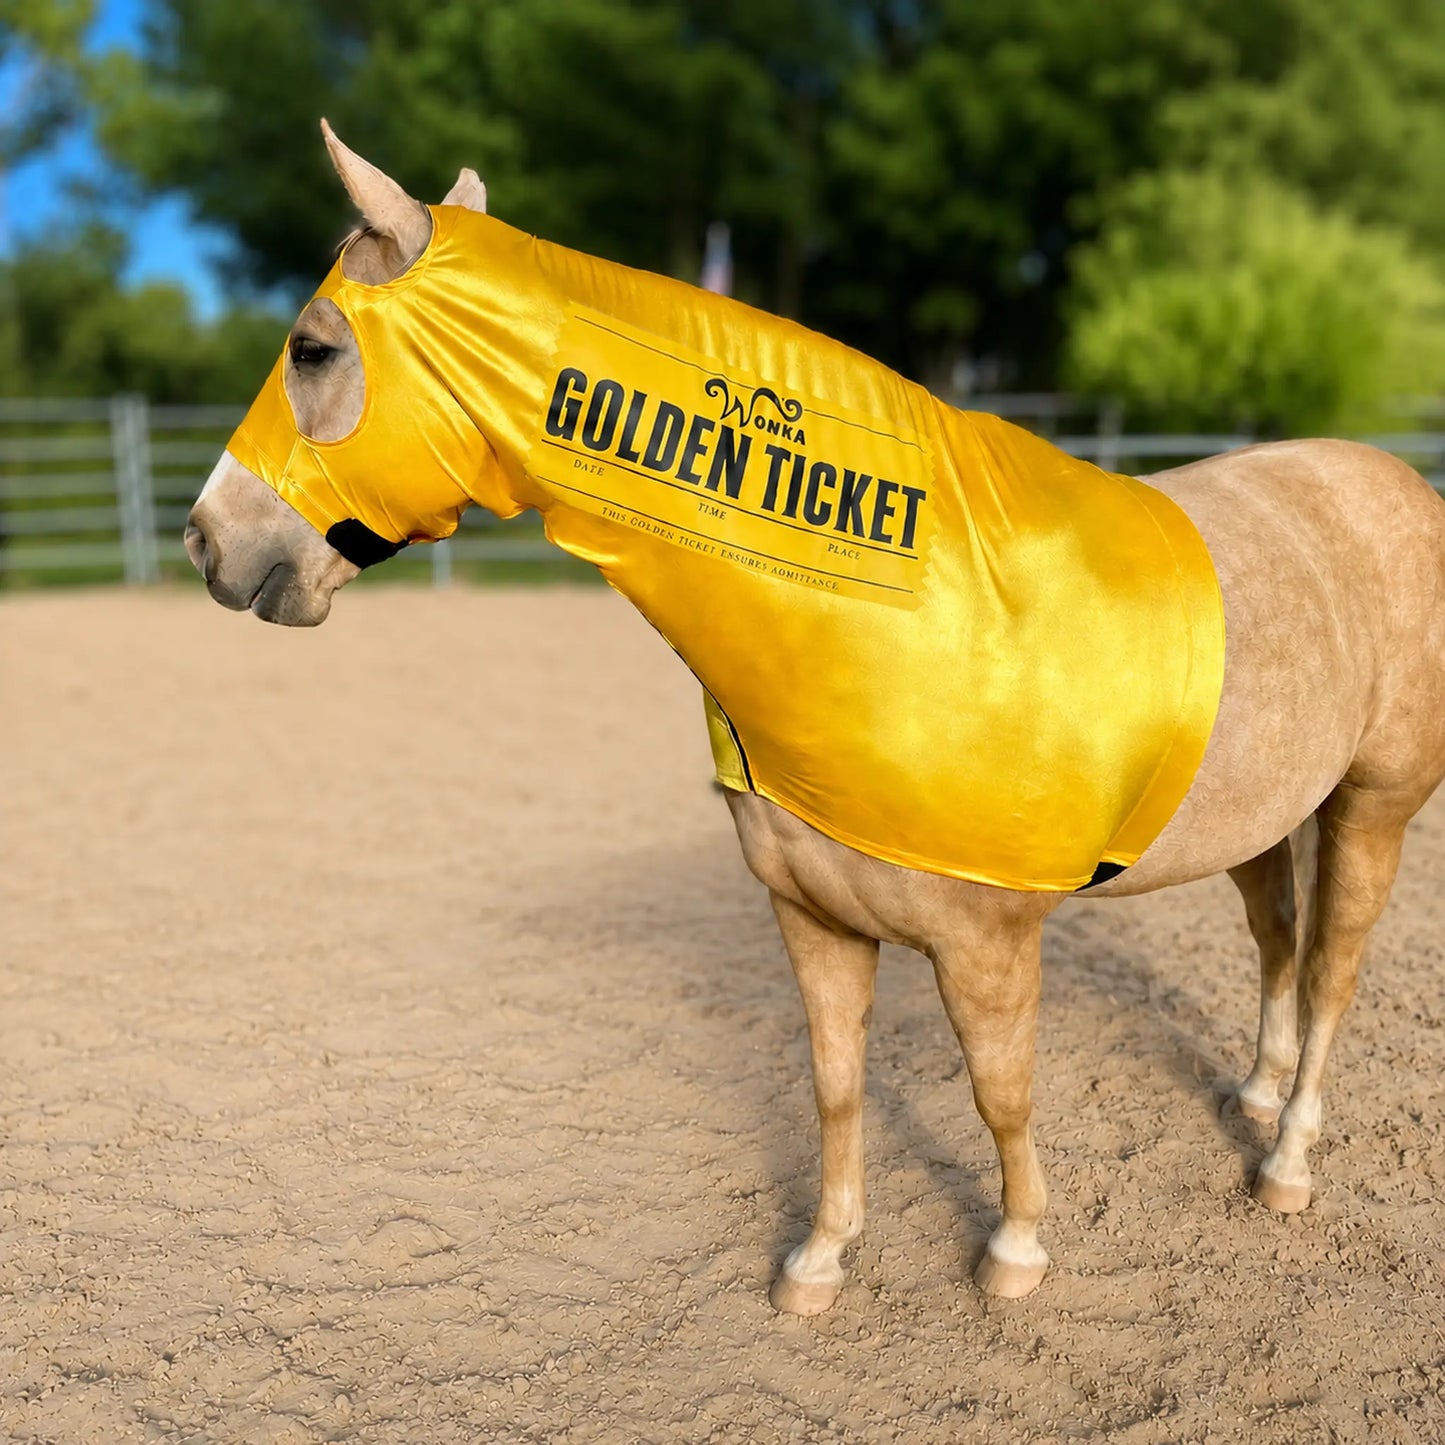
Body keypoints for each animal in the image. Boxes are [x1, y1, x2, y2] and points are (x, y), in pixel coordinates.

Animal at [185, 123, 1445, 1313]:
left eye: (311, 347)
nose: (206, 540)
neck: (904, 611)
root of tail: (1395, 483)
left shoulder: (988, 943)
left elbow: (1000, 1090)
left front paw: (1014, 1250)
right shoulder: (812, 918)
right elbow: (835, 1087)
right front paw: (820, 1260)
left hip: (1372, 806)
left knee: (1330, 970)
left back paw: (1284, 1159)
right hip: (1262, 813)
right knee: (1276, 941)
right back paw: (1255, 1094)